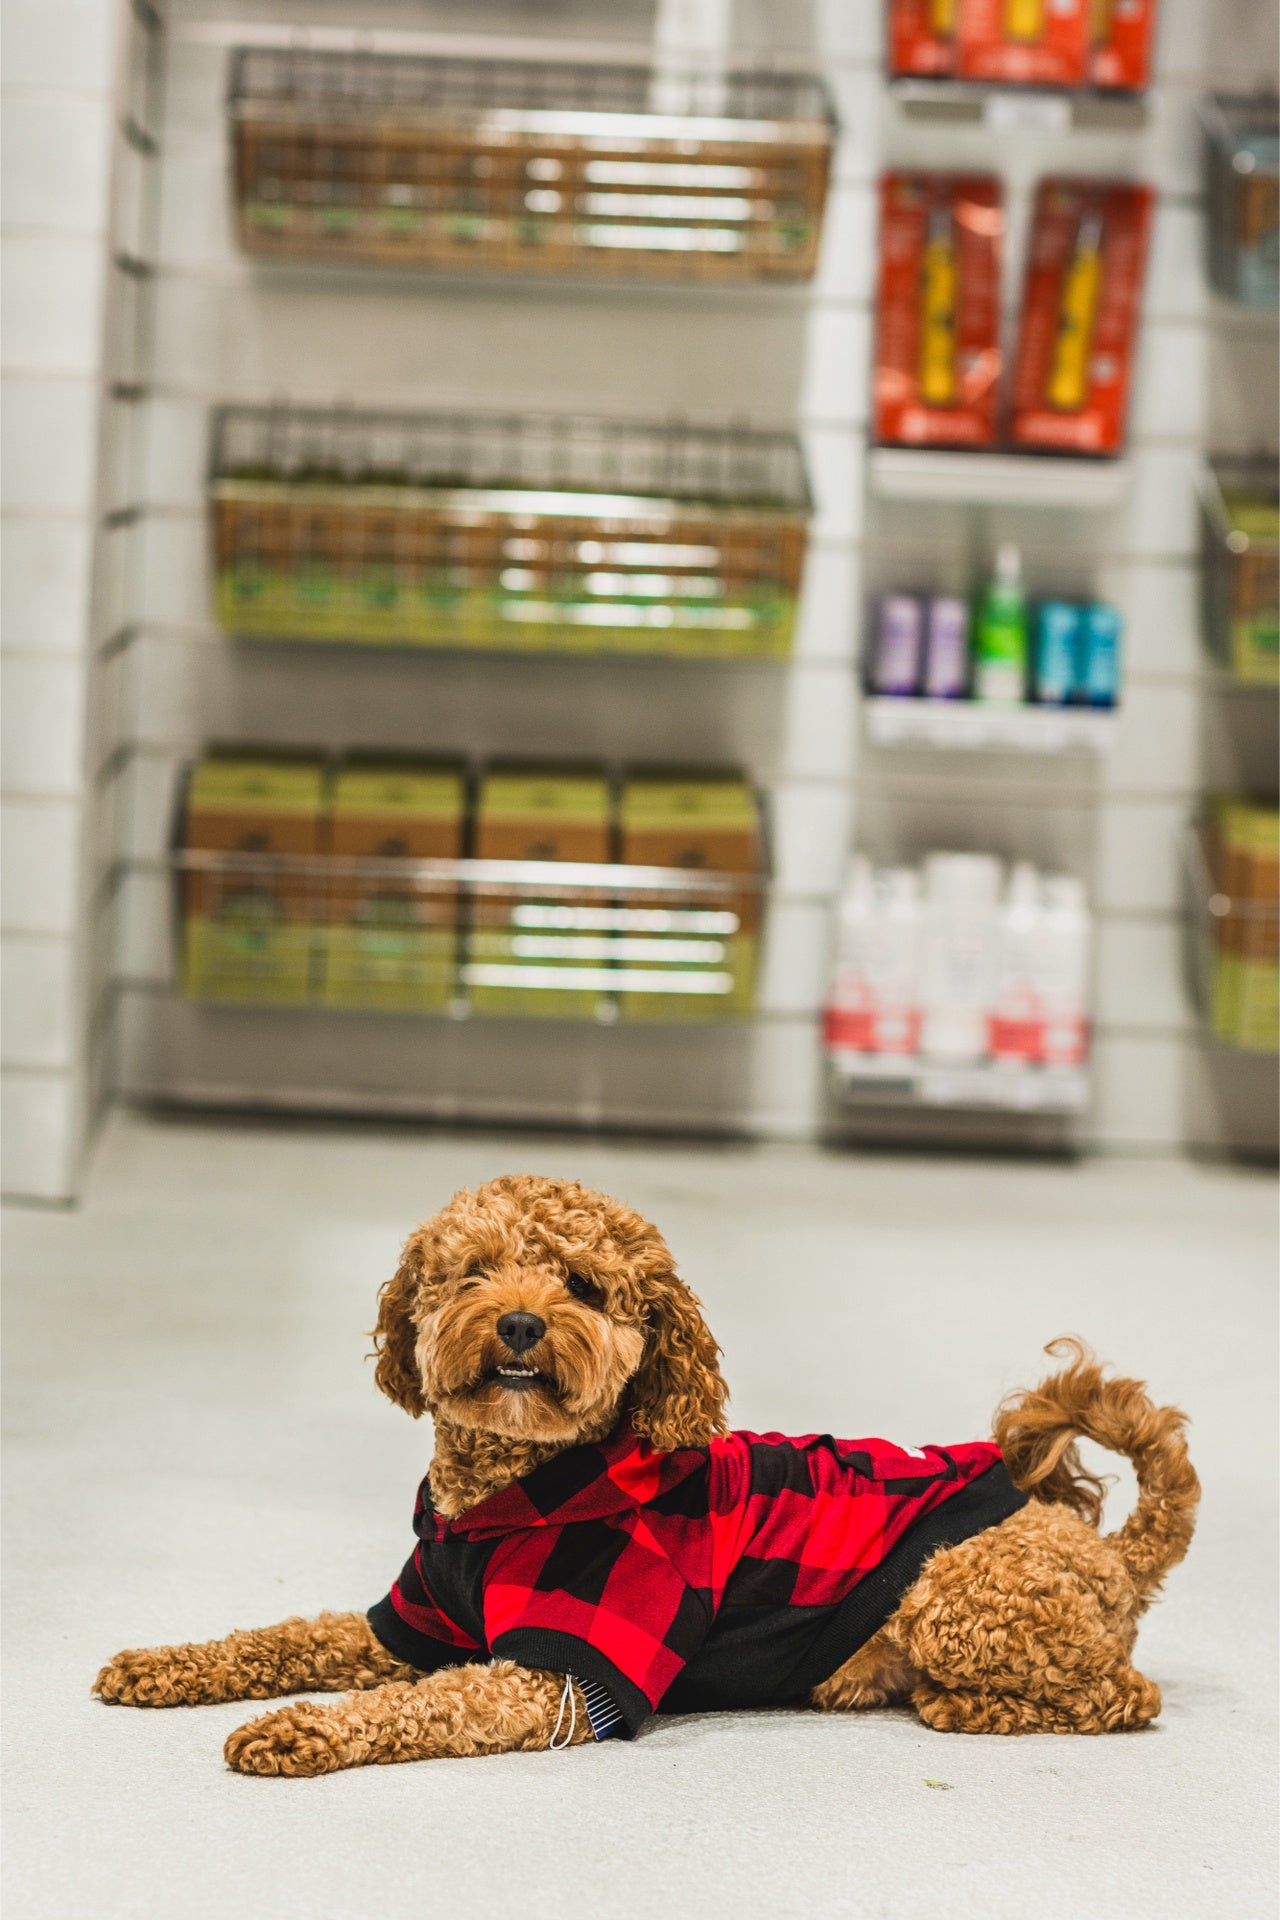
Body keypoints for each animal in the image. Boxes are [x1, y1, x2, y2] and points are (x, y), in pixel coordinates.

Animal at [97, 1175, 1205, 1774]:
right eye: (470, 1273)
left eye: (583, 1286)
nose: (519, 1323)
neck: (502, 1498)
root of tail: (1110, 1548)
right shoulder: (411, 1624)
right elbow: (280, 1637)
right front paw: (161, 1663)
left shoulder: (558, 1677)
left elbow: (413, 1709)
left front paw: (292, 1730)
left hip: (959, 1602)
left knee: (1126, 1693)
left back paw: (970, 1706)